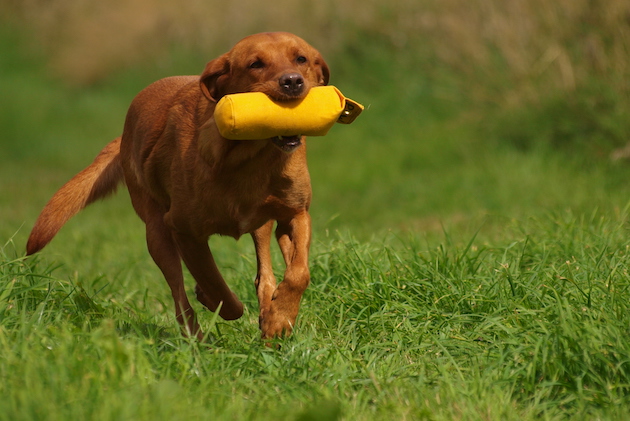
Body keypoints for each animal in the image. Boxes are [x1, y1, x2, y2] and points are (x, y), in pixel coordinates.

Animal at [25, 32, 330, 342]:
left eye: (301, 59)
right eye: (255, 64)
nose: (292, 81)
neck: (250, 159)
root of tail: (124, 134)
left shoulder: (296, 214)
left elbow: (299, 273)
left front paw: (280, 318)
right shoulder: (185, 231)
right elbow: (216, 286)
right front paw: (216, 300)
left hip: (261, 225)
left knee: (264, 272)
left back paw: (267, 310)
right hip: (156, 233)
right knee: (179, 297)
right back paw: (197, 337)